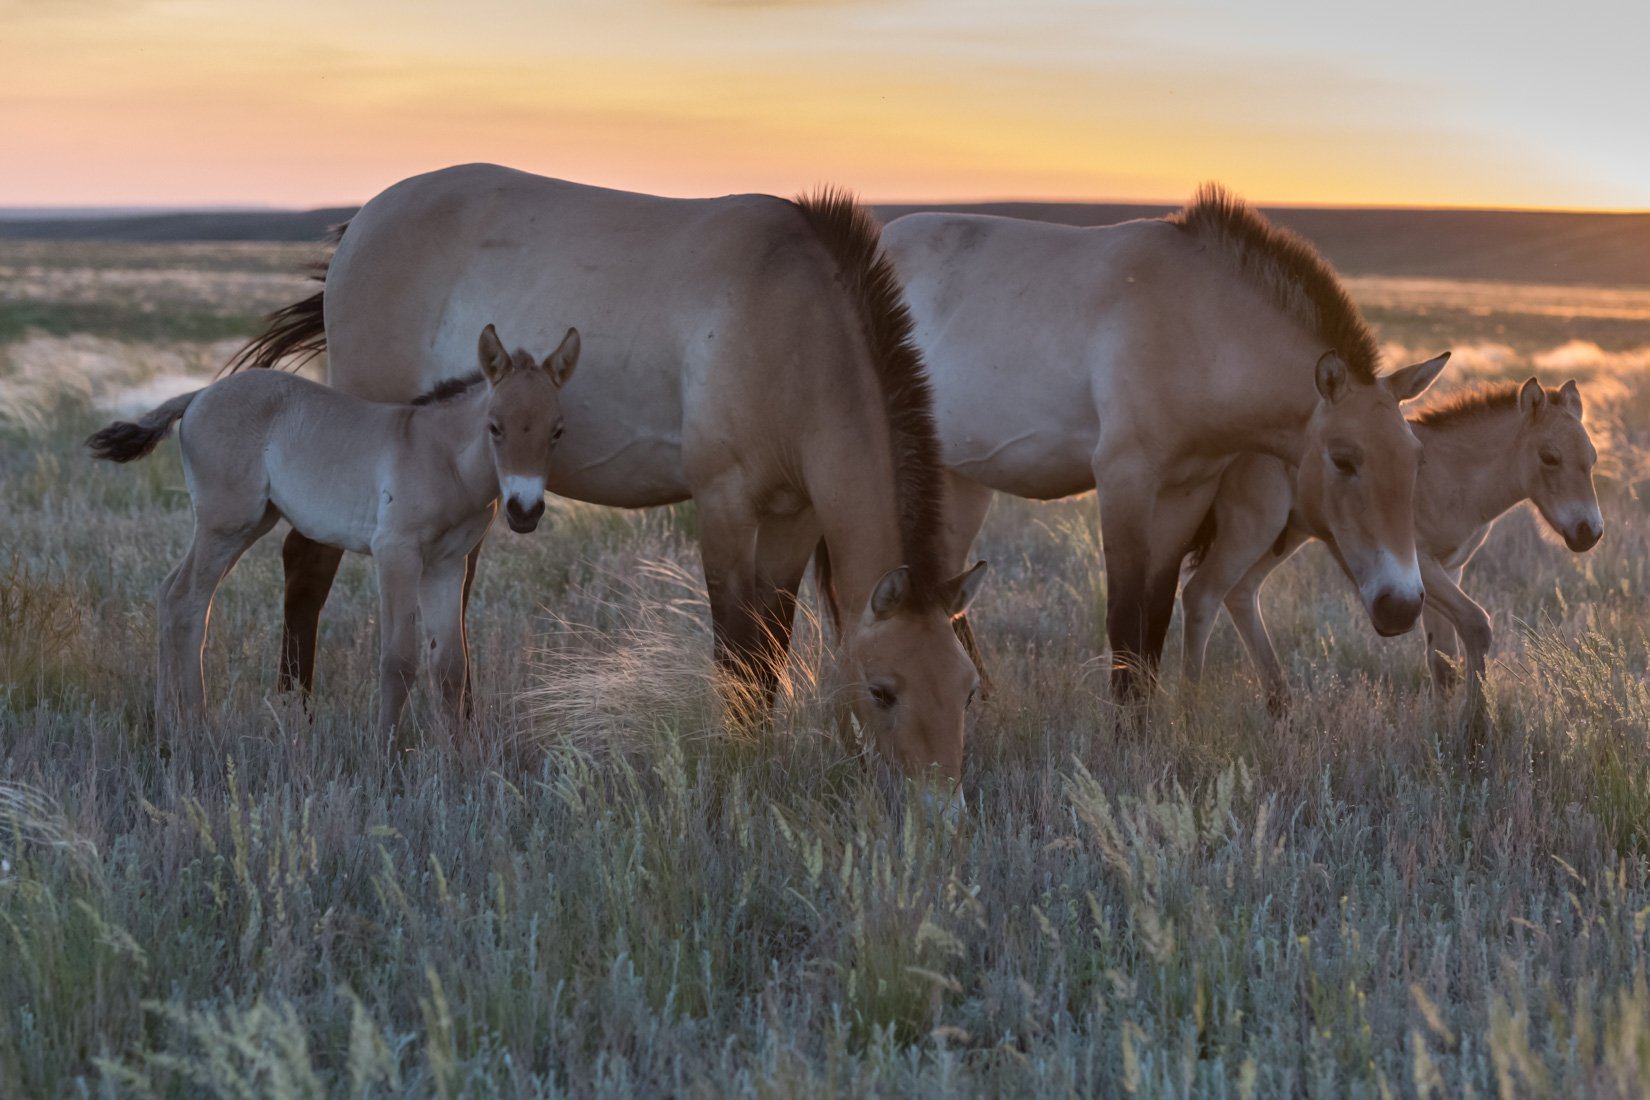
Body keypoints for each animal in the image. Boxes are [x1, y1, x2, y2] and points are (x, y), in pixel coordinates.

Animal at [91, 323, 580, 745]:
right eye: (495, 427)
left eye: (557, 431)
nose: (525, 511)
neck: (441, 457)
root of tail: (199, 395)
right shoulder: (397, 554)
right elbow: (398, 659)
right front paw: (386, 754)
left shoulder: (445, 565)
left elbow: (450, 666)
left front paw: (458, 759)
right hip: (225, 524)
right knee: (187, 599)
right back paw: (193, 724)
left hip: (251, 523)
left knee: (172, 593)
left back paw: (166, 722)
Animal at [226, 161, 983, 781]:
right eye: (884, 690)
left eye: (968, 688)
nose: (939, 805)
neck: (792, 322)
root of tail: (361, 222)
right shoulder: (724, 503)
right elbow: (735, 646)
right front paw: (735, 760)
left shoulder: (793, 516)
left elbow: (769, 645)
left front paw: (762, 747)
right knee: (307, 566)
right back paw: (296, 715)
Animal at [891, 186, 1445, 702]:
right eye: (1343, 460)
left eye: (1417, 461)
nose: (1402, 607)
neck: (1198, 331)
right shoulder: (1125, 481)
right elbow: (1124, 619)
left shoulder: (1187, 491)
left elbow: (1154, 618)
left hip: (963, 479)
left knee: (951, 586)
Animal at [1188, 374, 1597, 709]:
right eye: (1549, 457)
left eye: (1592, 458)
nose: (1588, 532)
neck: (1454, 476)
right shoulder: (1421, 565)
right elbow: (1476, 625)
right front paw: (1476, 733)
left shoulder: (1450, 569)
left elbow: (1443, 662)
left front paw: (1445, 736)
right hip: (1252, 528)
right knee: (1202, 594)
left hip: (1286, 536)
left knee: (1240, 592)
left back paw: (1280, 704)